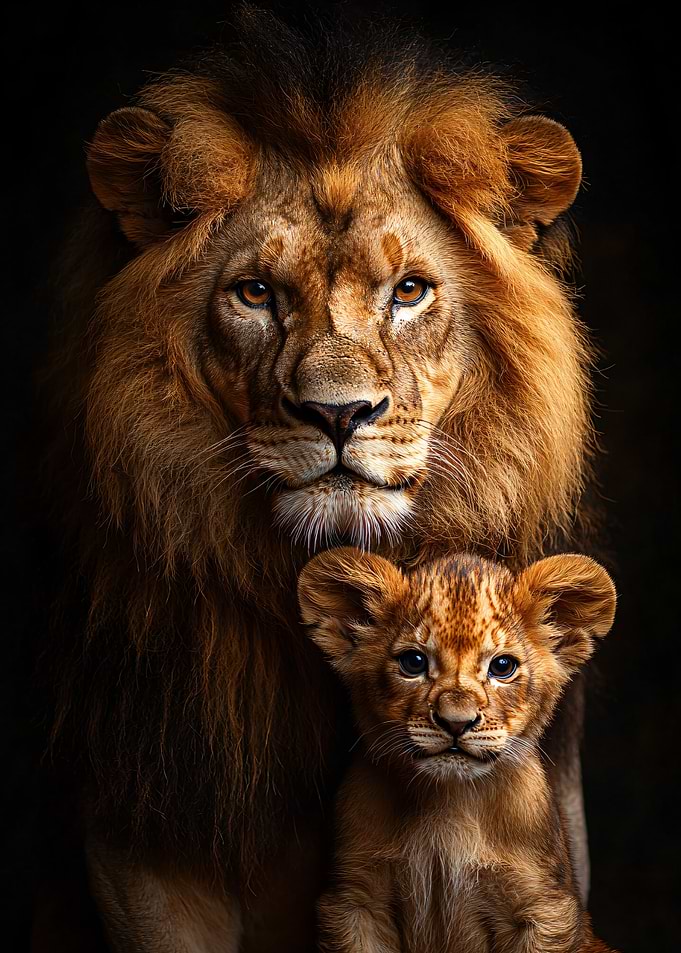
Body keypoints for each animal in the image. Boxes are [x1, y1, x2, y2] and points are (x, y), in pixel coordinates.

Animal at [298, 547, 617, 953]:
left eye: (502, 666)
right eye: (413, 662)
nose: (455, 722)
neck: (448, 804)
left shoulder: (544, 909)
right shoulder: (355, 903)